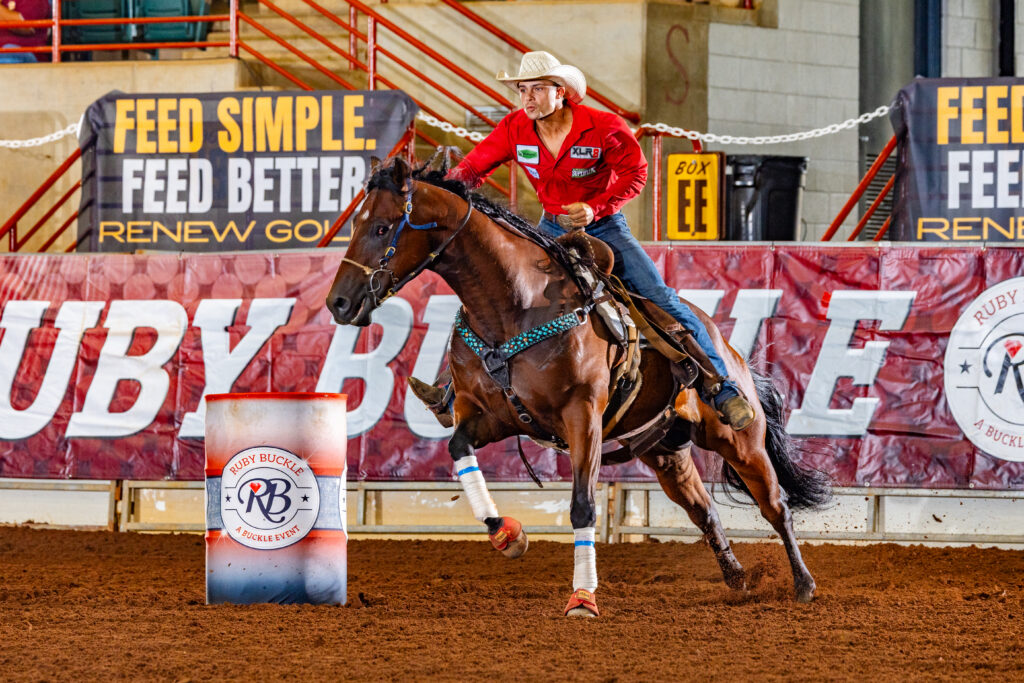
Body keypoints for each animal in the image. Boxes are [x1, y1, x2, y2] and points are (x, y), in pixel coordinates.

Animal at [326, 155, 831, 617]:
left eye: (382, 228)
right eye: (356, 223)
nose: (339, 302)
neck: (515, 306)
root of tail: (727, 347)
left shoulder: (581, 416)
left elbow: (583, 506)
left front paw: (583, 598)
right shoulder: (492, 417)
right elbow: (458, 450)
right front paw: (508, 534)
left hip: (739, 440)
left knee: (776, 505)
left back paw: (804, 585)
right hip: (665, 452)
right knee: (704, 510)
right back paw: (737, 578)